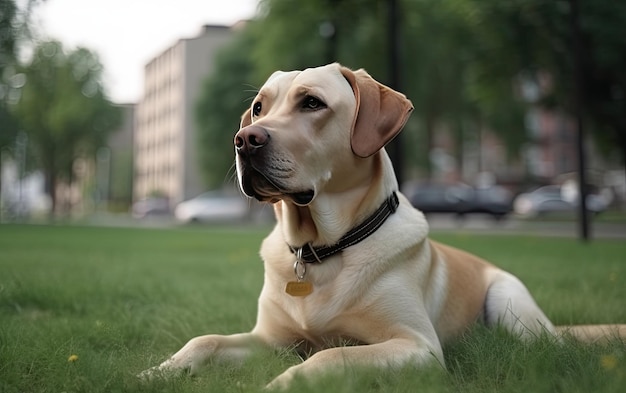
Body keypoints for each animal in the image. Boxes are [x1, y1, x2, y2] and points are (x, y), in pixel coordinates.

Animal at [143, 62, 624, 388]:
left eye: (312, 103)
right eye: (259, 107)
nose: (245, 139)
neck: (322, 249)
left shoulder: (416, 346)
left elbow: (327, 359)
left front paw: (279, 383)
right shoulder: (269, 339)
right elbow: (205, 340)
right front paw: (159, 370)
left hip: (512, 306)